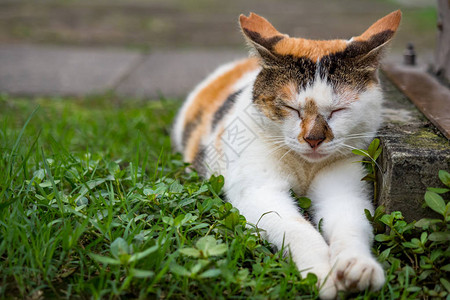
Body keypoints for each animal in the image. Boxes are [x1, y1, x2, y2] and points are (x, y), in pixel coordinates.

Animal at [171, 10, 400, 298]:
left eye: (339, 110)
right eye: (291, 108)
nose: (314, 139)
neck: (306, 166)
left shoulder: (345, 193)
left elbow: (352, 225)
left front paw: (358, 267)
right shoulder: (259, 192)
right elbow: (294, 227)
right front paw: (322, 274)